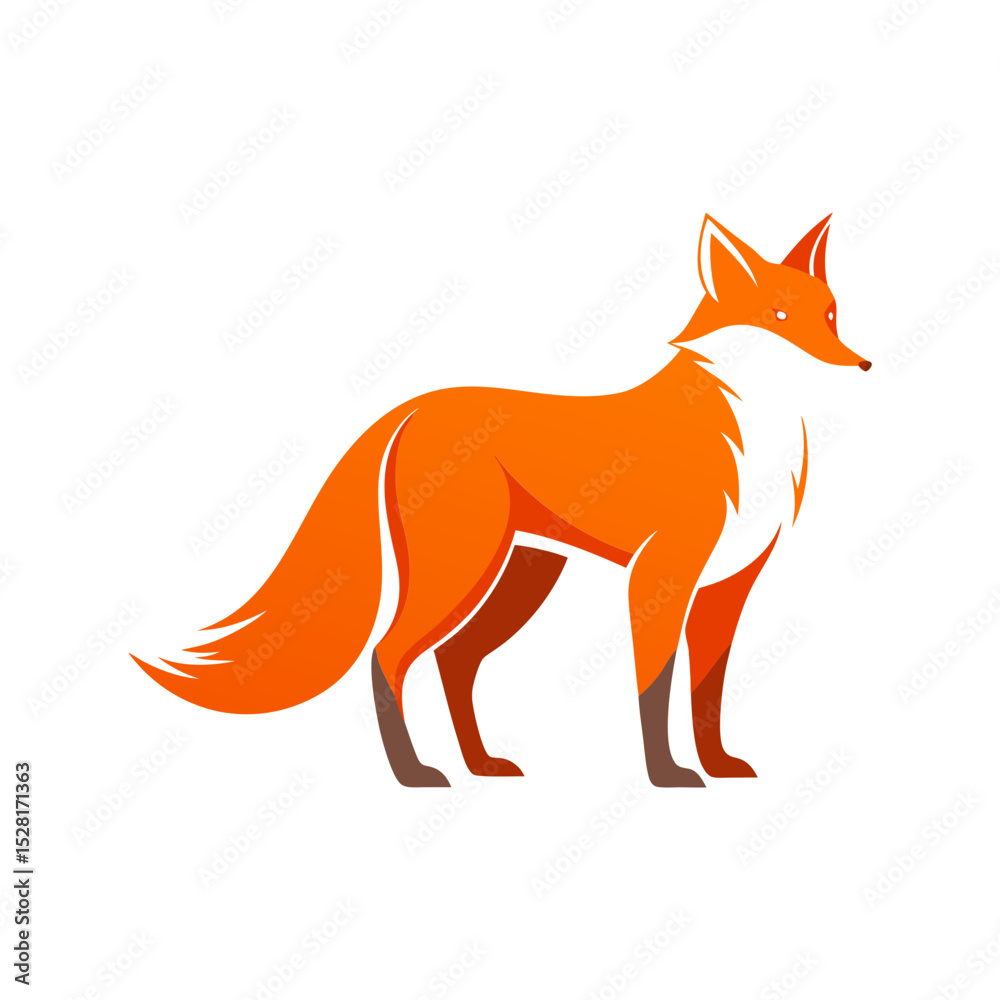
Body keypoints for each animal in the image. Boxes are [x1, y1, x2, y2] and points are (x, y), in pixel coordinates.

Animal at [133, 213, 870, 787]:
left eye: (831, 314)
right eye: (777, 317)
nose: (862, 364)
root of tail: (413, 408)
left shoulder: (727, 587)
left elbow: (706, 694)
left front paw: (717, 767)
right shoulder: (661, 577)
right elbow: (655, 687)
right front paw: (668, 775)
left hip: (523, 574)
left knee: (453, 661)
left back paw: (480, 764)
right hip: (466, 569)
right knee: (389, 656)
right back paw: (414, 773)